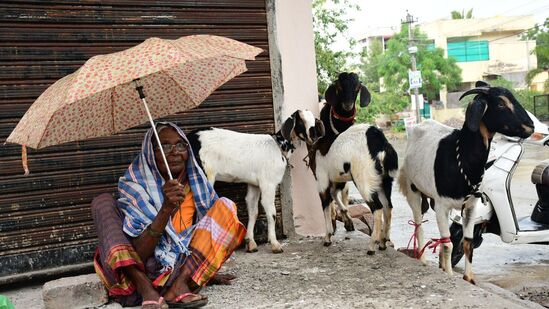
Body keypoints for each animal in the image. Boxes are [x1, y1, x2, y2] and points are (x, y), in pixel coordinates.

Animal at [186, 110, 324, 253]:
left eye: (314, 119)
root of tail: (189, 137)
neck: (278, 146)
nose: (314, 136)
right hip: (204, 174)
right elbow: (271, 212)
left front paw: (250, 242)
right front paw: (275, 244)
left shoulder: (254, 184)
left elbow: (253, 210)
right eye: (301, 121)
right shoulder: (268, 183)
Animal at [396, 80, 532, 282]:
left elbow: (467, 243)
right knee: (419, 225)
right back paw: (422, 260)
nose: (530, 126)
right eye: (500, 103)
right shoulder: (442, 206)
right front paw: (449, 274)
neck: (461, 159)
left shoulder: (471, 206)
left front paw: (469, 278)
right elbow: (448, 244)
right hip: (413, 189)